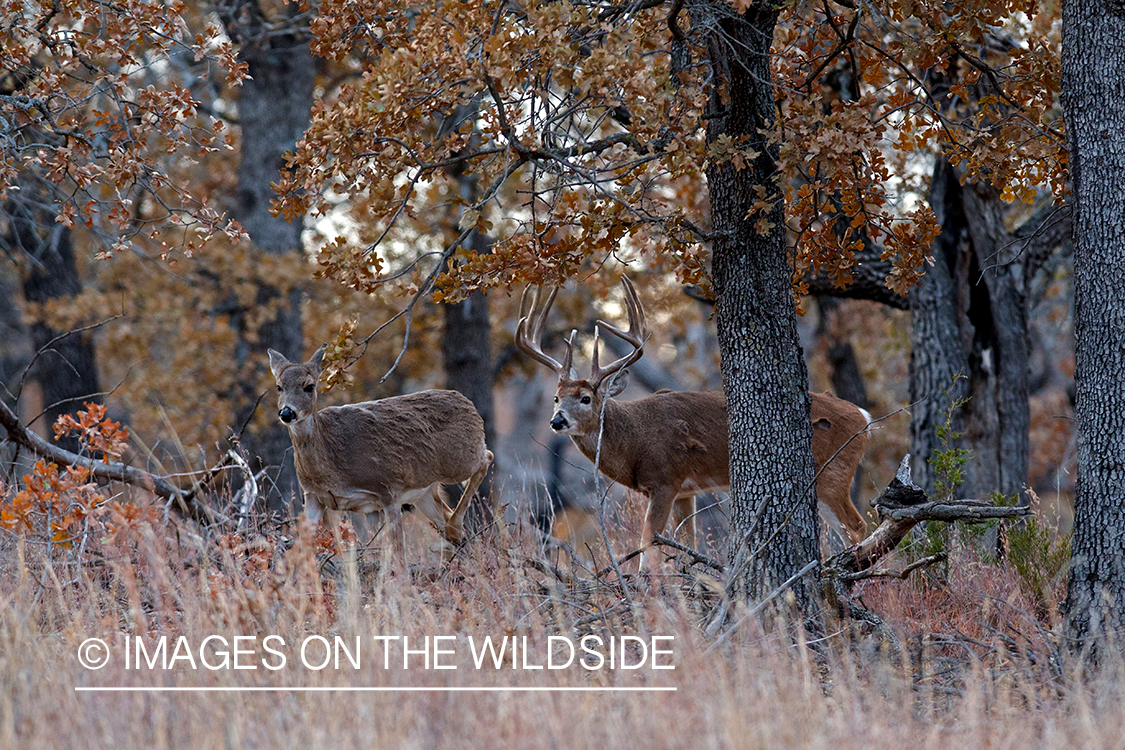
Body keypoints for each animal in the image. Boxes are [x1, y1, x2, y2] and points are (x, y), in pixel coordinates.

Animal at [267, 348, 492, 550]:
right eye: (278, 387)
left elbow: (399, 553)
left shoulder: (388, 488)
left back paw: (456, 527)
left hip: (460, 462)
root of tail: (468, 402)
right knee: (443, 515)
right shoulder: (316, 497)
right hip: (424, 491)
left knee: (487, 457)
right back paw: (454, 536)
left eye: (309, 386)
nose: (287, 412)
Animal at [515, 277, 873, 568]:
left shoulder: (664, 479)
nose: (557, 421)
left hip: (834, 472)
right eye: (556, 398)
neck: (635, 441)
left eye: (586, 398)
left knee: (858, 526)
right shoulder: (686, 490)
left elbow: (648, 546)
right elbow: (688, 545)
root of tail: (864, 417)